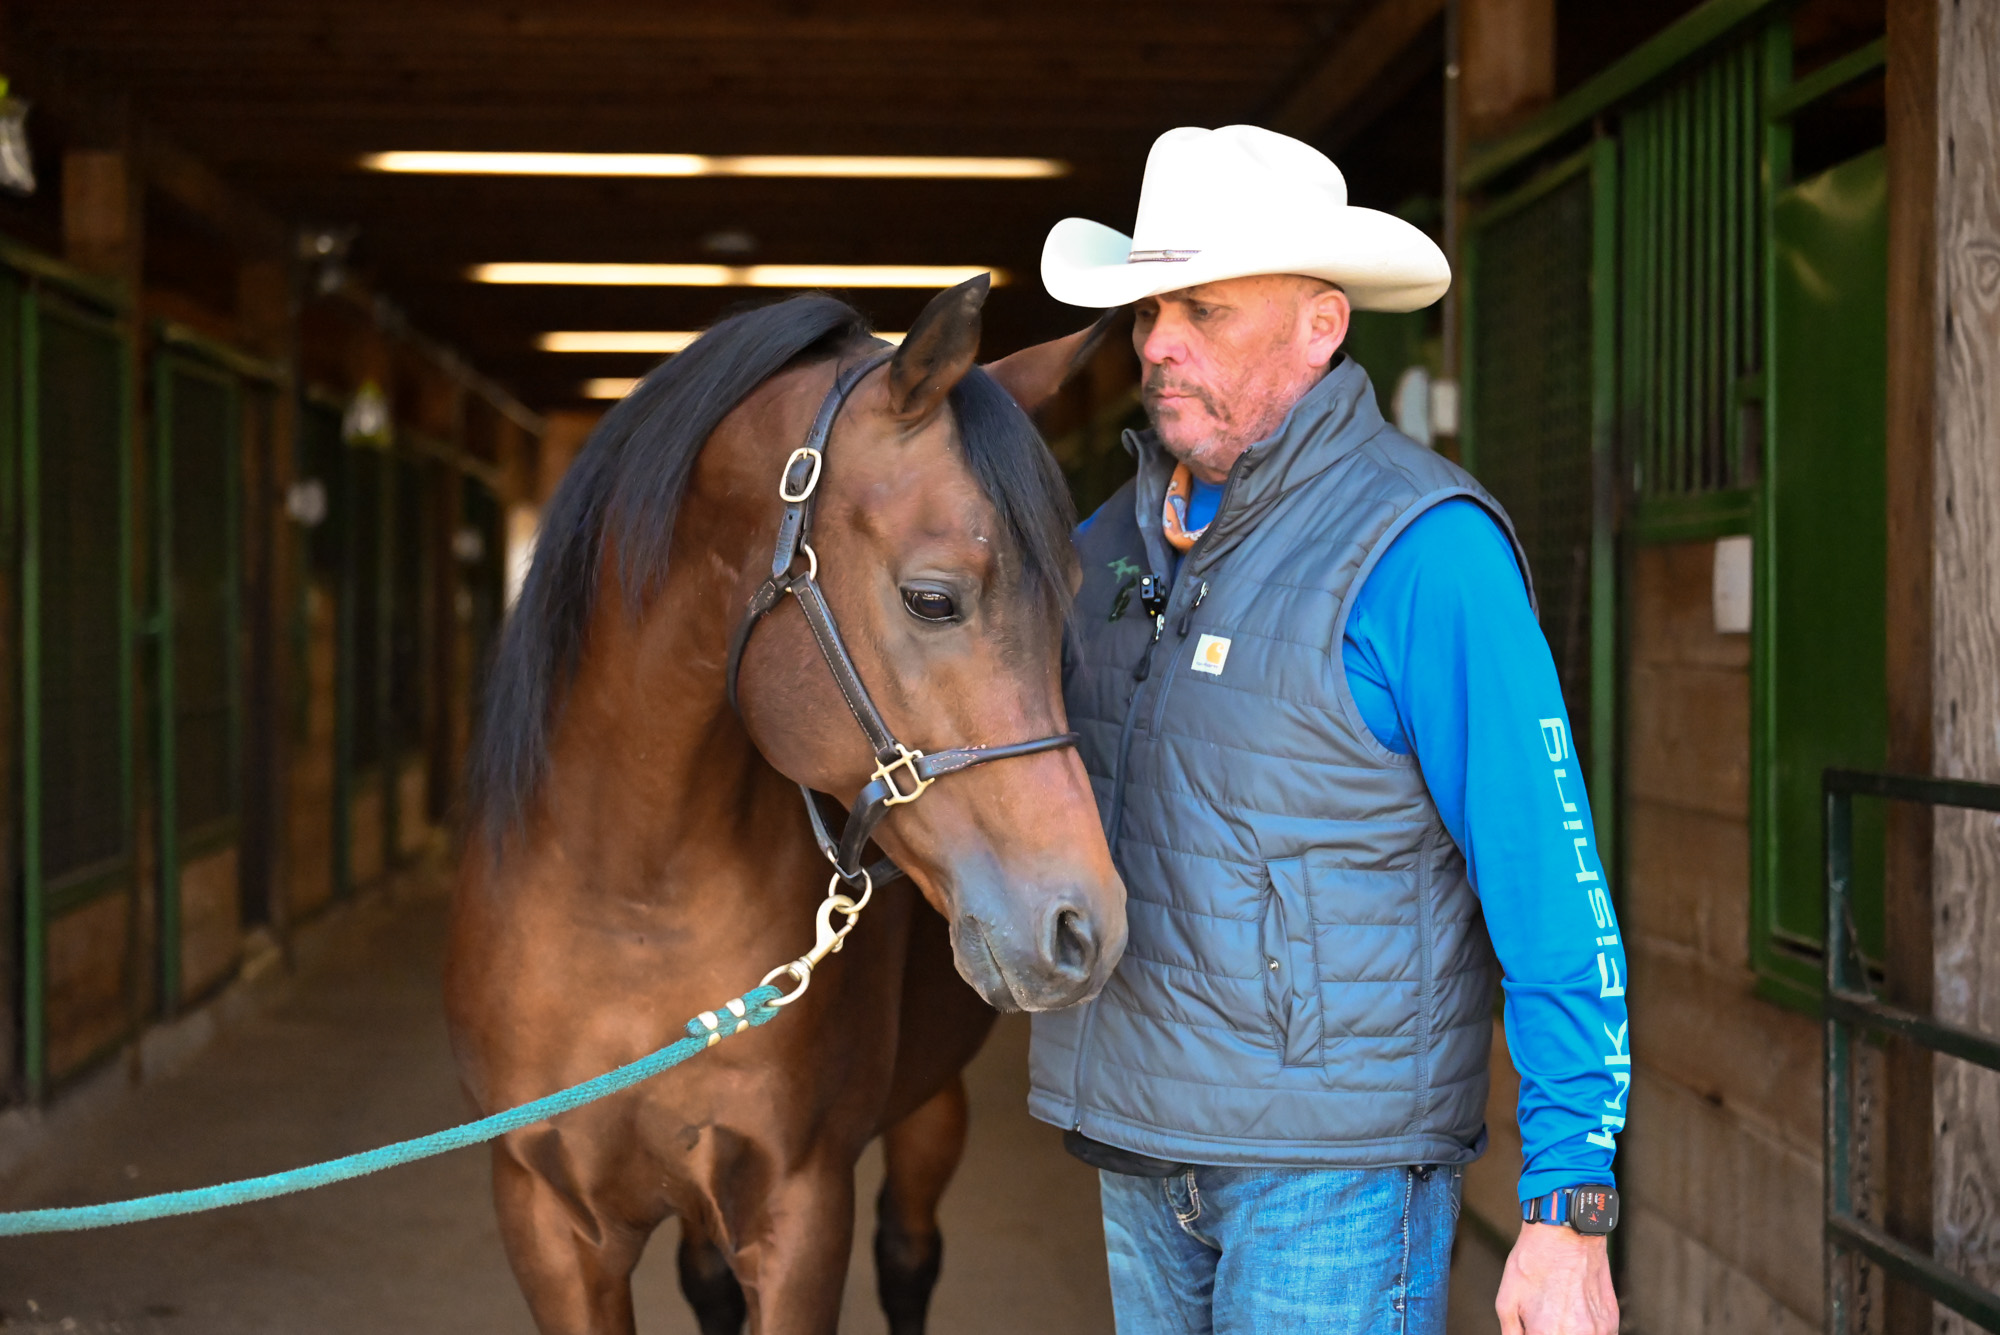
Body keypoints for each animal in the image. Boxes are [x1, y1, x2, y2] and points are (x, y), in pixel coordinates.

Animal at [445, 276, 1128, 1335]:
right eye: (933, 599)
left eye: (1068, 614)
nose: (1085, 926)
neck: (630, 901)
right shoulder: (549, 1221)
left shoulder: (801, 1208)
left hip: (928, 1108)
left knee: (909, 1255)